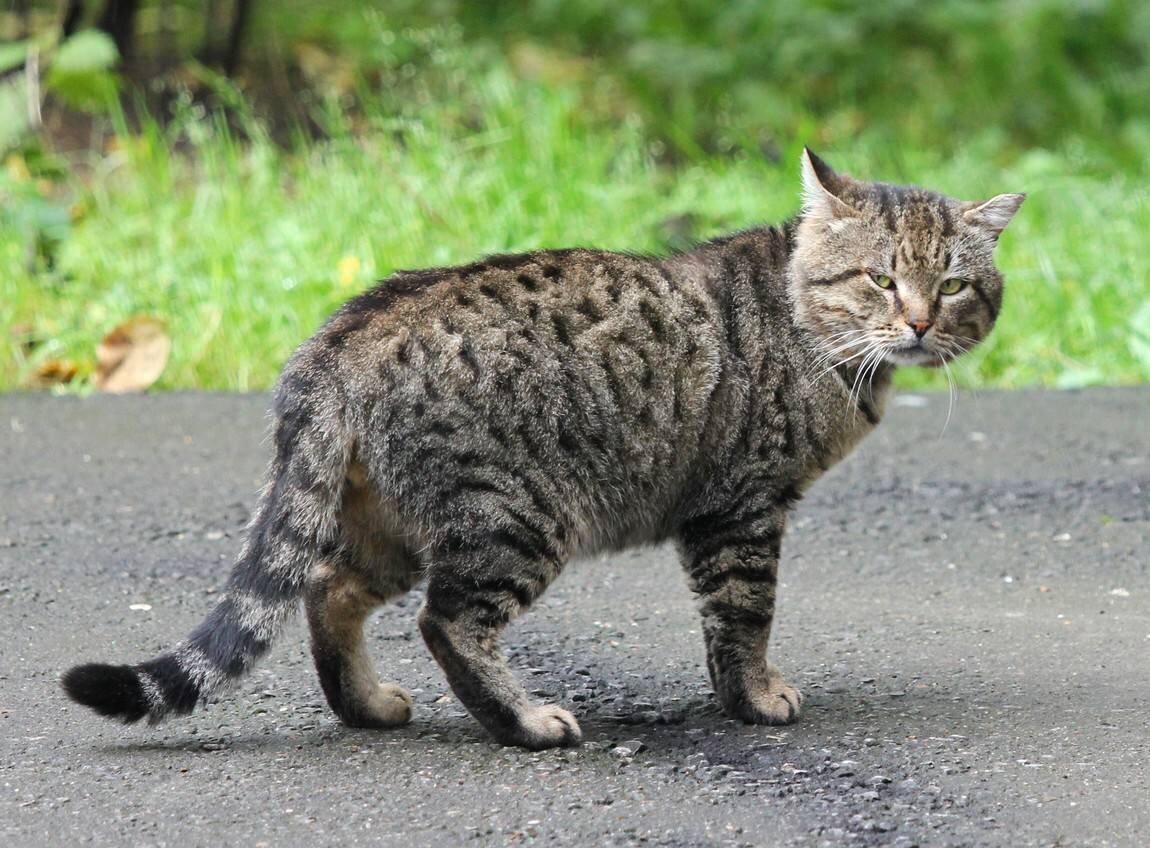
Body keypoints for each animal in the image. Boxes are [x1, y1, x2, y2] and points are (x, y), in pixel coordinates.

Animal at [60, 150, 1025, 745]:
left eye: (951, 284)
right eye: (880, 279)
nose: (918, 320)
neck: (813, 333)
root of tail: (338, 341)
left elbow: (726, 626)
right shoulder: (741, 510)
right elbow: (744, 617)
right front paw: (754, 698)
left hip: (388, 522)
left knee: (327, 589)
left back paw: (367, 706)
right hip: (515, 517)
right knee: (446, 623)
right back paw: (524, 723)